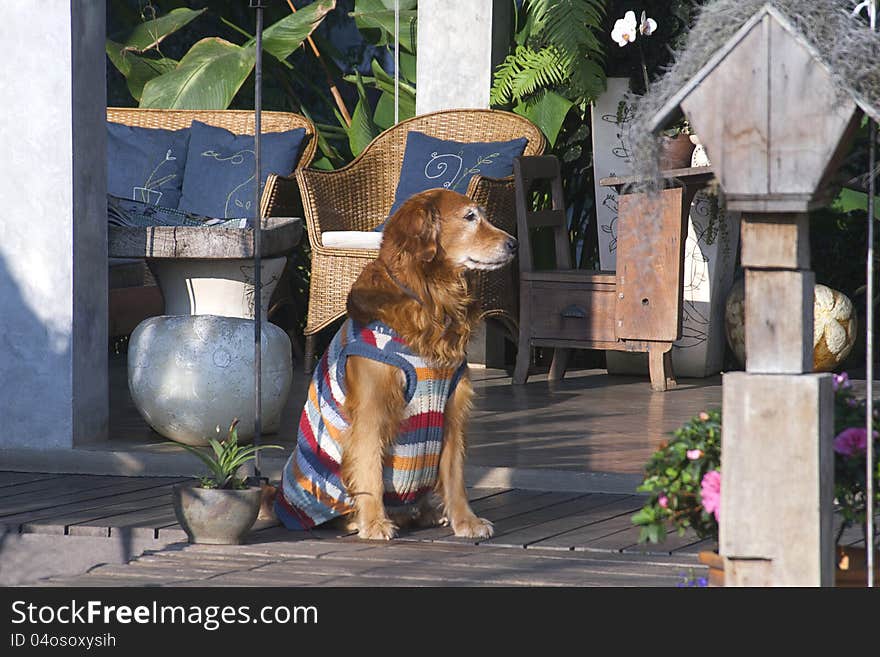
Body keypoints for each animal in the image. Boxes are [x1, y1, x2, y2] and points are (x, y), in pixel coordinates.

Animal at [272, 188, 512, 540]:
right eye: (470, 217)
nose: (514, 244)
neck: (432, 301)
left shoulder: (453, 408)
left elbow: (455, 475)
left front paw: (466, 520)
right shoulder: (373, 408)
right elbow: (370, 467)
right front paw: (374, 523)